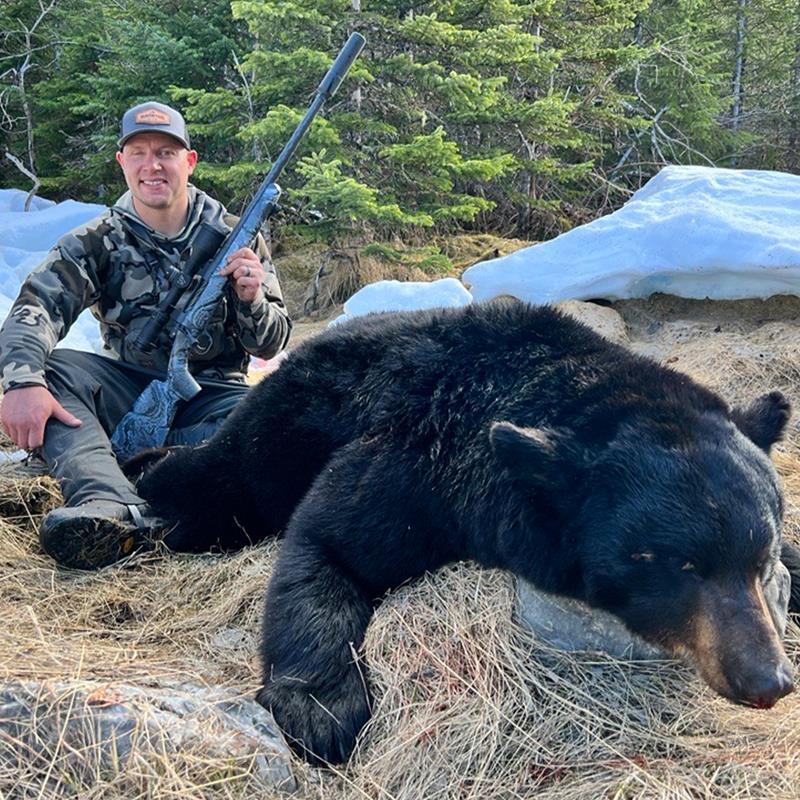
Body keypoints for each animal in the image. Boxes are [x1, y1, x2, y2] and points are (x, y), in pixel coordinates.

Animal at [137, 300, 800, 765]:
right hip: (278, 431)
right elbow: (326, 545)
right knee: (218, 482)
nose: (768, 679)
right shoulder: (418, 462)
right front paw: (320, 710)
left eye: (760, 559)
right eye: (681, 565)